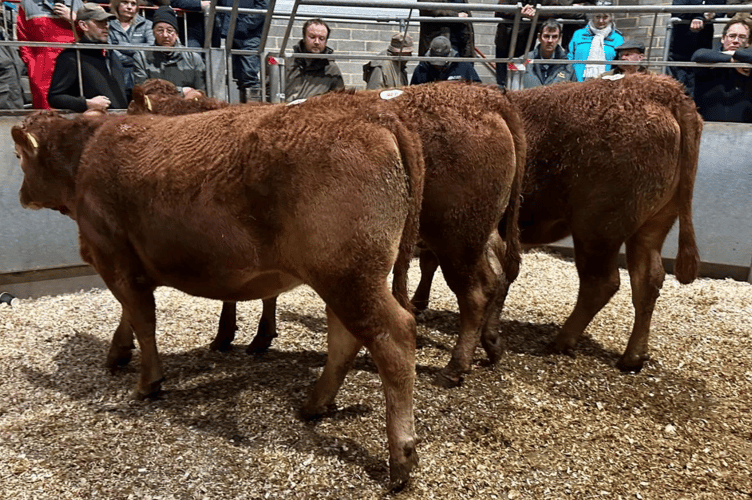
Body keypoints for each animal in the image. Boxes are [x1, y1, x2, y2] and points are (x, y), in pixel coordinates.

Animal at [11, 106, 426, 488]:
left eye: (16, 156)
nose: (20, 195)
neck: (86, 154)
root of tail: (372, 115)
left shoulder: (112, 258)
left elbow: (143, 320)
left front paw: (148, 381)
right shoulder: (130, 266)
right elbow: (128, 315)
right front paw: (118, 353)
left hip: (349, 277)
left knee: (394, 337)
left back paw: (400, 458)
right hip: (343, 277)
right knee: (344, 337)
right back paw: (314, 404)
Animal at [414, 73, 704, 372]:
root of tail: (664, 89)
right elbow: (429, 263)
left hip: (597, 229)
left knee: (601, 282)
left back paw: (561, 341)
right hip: (653, 224)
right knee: (647, 280)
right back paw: (632, 357)